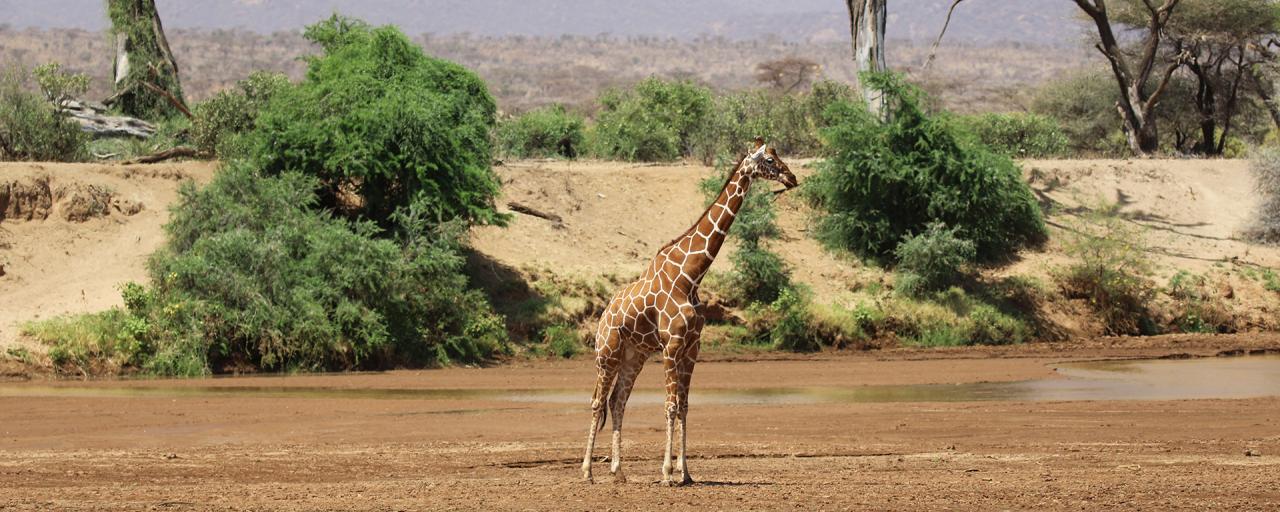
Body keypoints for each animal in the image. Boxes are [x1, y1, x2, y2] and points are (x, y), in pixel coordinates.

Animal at [583, 135, 798, 483]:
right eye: (768, 160)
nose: (791, 177)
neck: (692, 275)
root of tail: (602, 316)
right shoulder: (672, 346)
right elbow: (670, 406)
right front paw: (667, 473)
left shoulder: (692, 348)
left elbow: (684, 406)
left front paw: (685, 473)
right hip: (608, 352)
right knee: (596, 401)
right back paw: (587, 471)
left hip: (634, 355)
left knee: (617, 402)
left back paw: (619, 472)